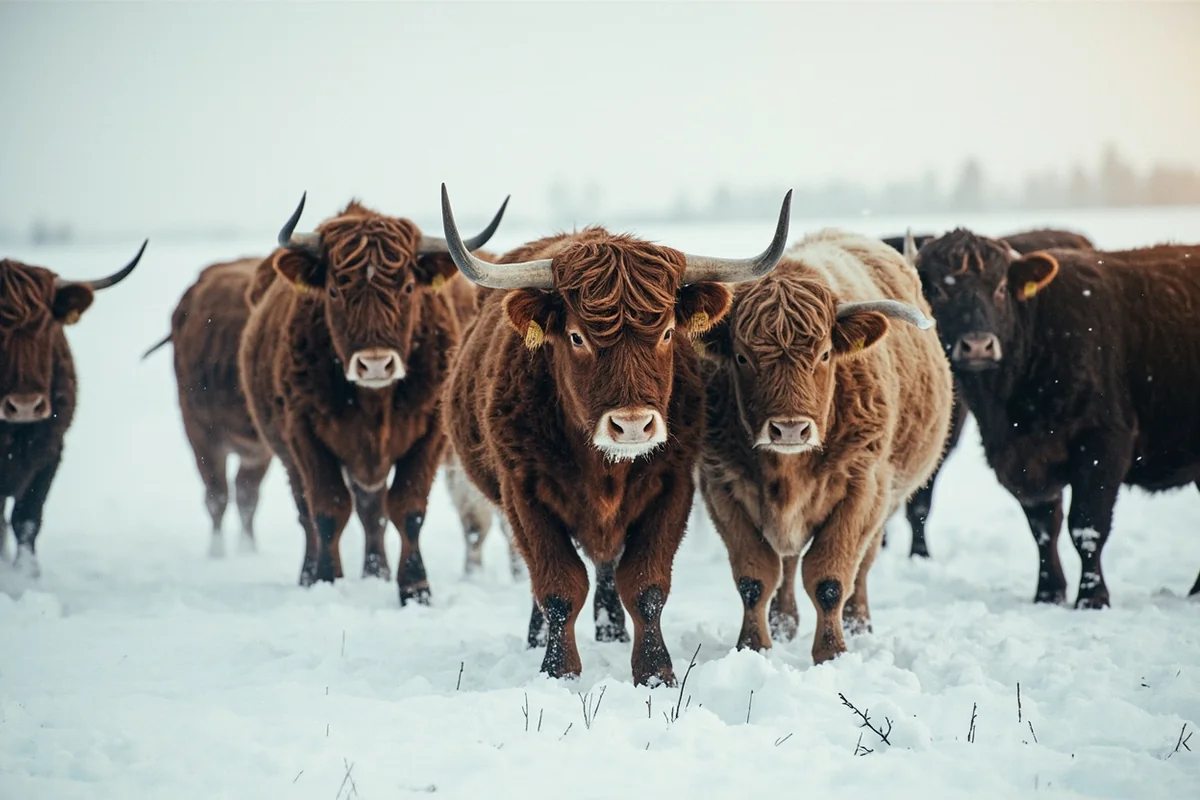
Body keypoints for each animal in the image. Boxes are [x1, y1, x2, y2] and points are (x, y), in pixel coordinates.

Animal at [142, 257, 274, 557]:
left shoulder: (263, 449)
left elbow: (248, 496)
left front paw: (249, 550)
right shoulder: (199, 432)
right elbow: (217, 496)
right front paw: (217, 553)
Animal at [238, 193, 509, 602]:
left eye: (408, 288)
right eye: (335, 290)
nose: (376, 364)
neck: (372, 405)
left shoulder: (429, 435)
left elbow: (407, 508)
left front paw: (415, 587)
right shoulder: (304, 435)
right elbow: (328, 509)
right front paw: (325, 579)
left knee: (375, 513)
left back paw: (377, 572)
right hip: (288, 457)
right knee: (309, 512)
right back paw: (316, 573)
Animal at [441, 184, 792, 685]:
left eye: (667, 332)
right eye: (576, 337)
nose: (631, 424)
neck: (603, 466)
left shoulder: (672, 487)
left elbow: (645, 584)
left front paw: (655, 671)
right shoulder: (523, 492)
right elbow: (558, 586)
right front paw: (559, 671)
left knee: (607, 567)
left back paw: (610, 630)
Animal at [697, 229, 952, 664]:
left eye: (825, 354)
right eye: (742, 357)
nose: (789, 429)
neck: (787, 470)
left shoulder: (861, 487)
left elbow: (830, 577)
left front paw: (832, 652)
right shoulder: (721, 485)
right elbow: (754, 576)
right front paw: (754, 647)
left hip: (885, 499)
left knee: (862, 564)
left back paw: (858, 623)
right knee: (787, 560)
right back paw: (783, 623)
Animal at [911, 229, 1200, 607]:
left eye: (1000, 287)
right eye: (939, 289)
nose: (977, 345)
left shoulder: (1103, 445)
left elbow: (1087, 527)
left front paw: (1092, 598)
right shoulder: (1022, 457)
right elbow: (1044, 527)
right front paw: (1049, 592)